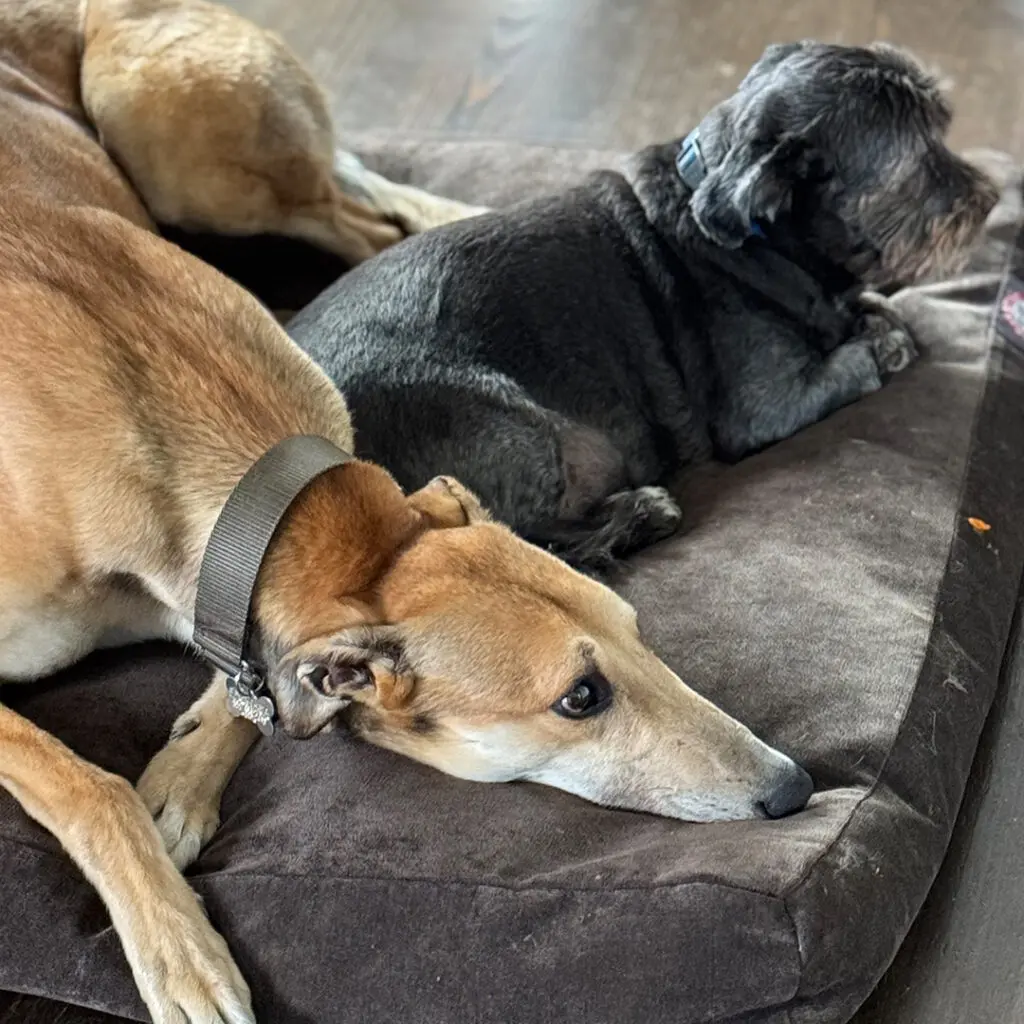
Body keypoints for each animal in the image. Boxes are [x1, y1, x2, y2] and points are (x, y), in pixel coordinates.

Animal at [2, 4, 815, 1019]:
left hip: (177, 143)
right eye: (579, 697)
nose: (797, 789)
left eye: (640, 632)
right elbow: (88, 783)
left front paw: (181, 782)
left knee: (368, 216)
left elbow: (251, 682)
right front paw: (179, 951)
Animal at [290, 44, 999, 573]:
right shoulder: (761, 410)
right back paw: (642, 513)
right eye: (923, 163)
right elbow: (861, 357)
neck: (758, 234)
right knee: (518, 542)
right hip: (518, 432)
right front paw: (884, 339)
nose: (992, 199)